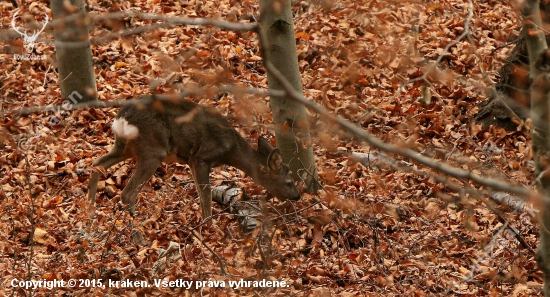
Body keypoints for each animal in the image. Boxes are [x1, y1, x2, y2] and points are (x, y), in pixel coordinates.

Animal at [87, 95, 302, 222]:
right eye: (289, 182)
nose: (297, 196)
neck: (231, 150)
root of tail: (122, 117)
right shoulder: (201, 158)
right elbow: (205, 195)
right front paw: (208, 225)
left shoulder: (191, 161)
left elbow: (200, 193)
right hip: (153, 149)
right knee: (127, 193)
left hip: (125, 146)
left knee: (98, 163)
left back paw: (89, 208)